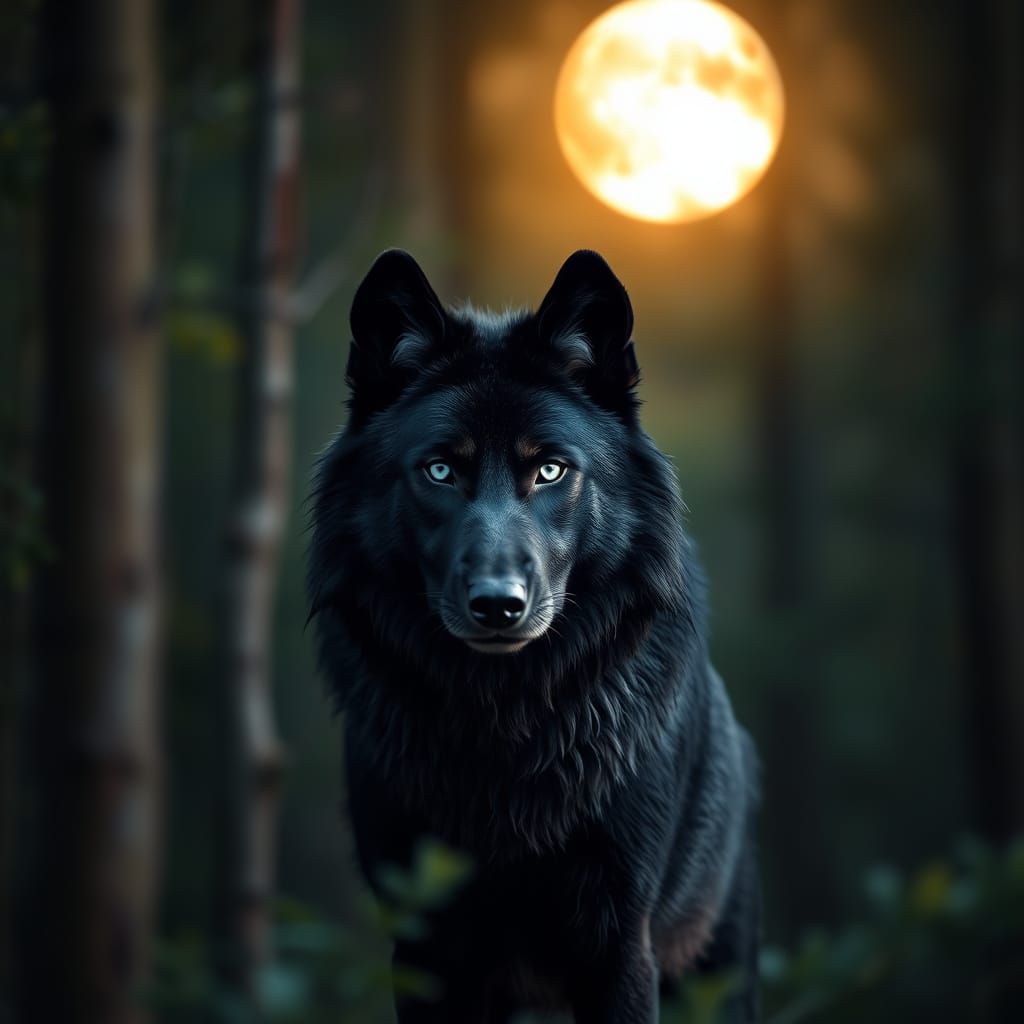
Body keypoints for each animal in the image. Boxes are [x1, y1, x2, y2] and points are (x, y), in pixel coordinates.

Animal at [307, 249, 761, 1022]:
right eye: (440, 470)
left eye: (550, 469)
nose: (498, 606)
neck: (504, 720)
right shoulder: (424, 946)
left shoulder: (619, 945)